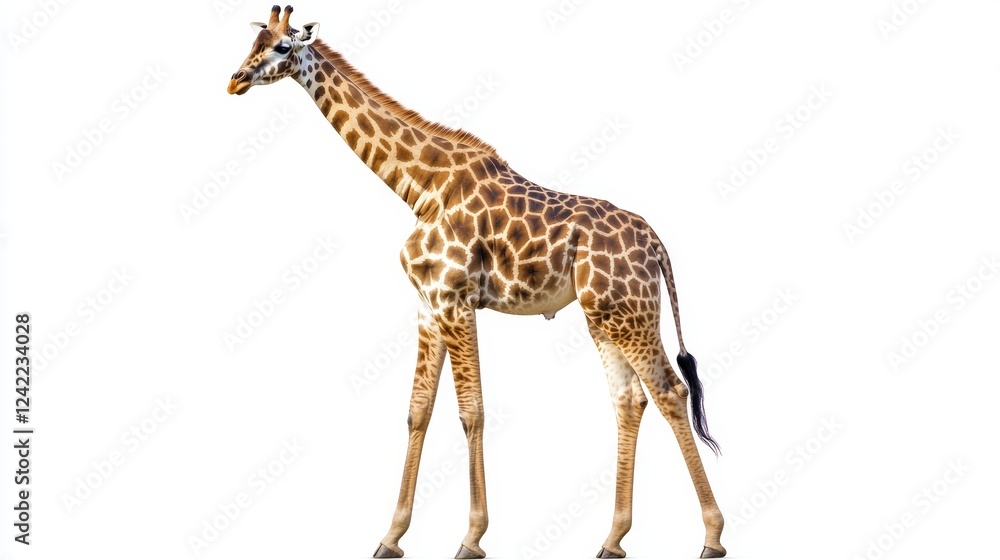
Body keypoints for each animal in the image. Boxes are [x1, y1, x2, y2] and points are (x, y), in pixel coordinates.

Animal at [228, 6, 726, 559]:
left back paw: (711, 536)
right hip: (604, 316)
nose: (235, 80)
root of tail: (656, 243)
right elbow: (417, 411)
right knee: (630, 399)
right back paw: (613, 538)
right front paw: (391, 536)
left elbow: (472, 412)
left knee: (669, 392)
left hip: (629, 313)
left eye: (282, 47)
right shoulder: (428, 305)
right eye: (253, 42)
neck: (419, 188)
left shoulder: (455, 299)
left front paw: (471, 536)